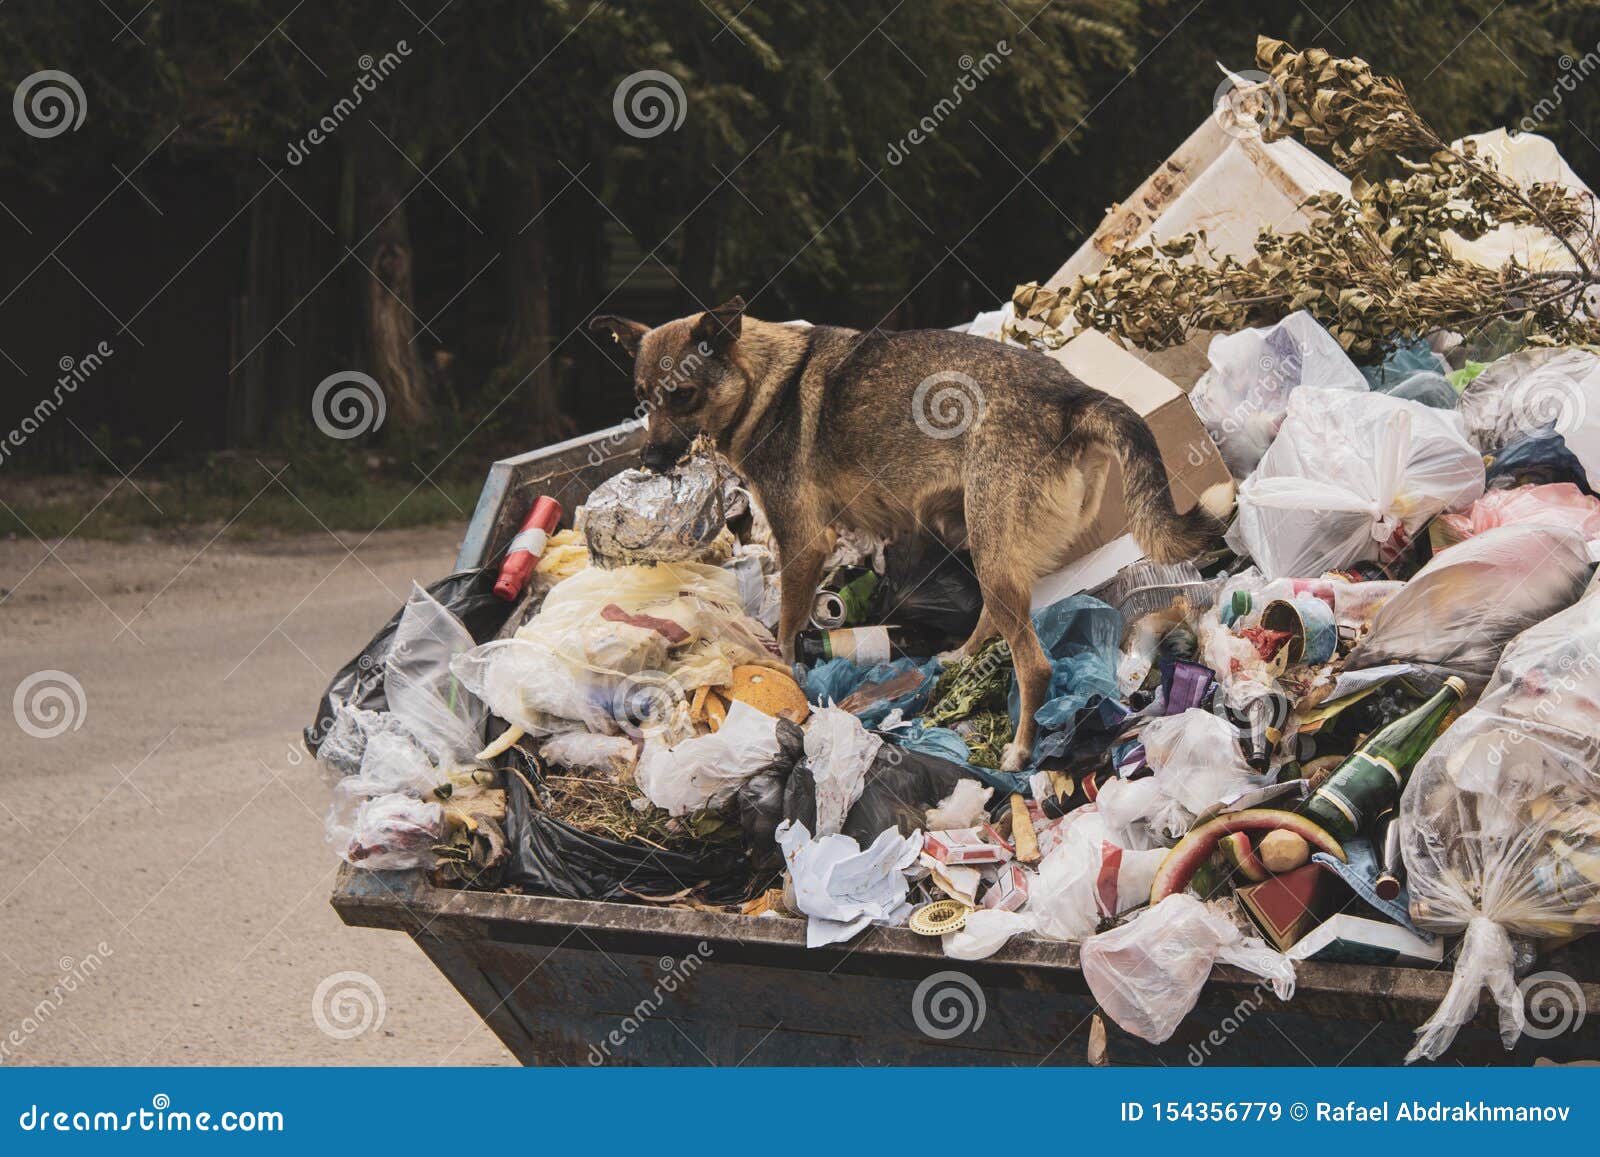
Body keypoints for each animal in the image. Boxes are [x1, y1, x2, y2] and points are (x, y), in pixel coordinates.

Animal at [595, 299, 1228, 768]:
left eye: (684, 395)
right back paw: (962, 658)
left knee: (1034, 664)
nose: (650, 461)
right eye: (644, 401)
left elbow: (788, 626)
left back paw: (1020, 750)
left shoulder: (804, 545)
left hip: (991, 551)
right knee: (993, 618)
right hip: (982, 542)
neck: (764, 382)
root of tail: (1071, 397)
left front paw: (787, 669)